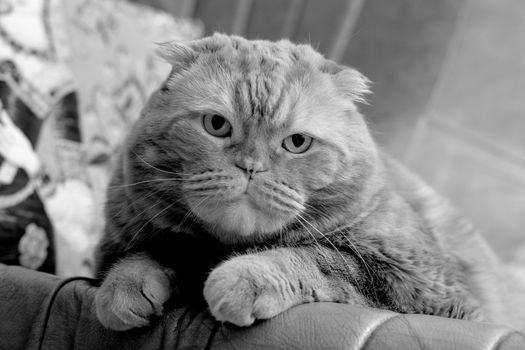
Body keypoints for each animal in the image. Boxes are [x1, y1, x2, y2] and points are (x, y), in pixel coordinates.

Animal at [94, 32, 524, 330]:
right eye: (216, 124)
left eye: (297, 142)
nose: (251, 167)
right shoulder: (136, 240)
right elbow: (146, 255)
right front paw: (123, 288)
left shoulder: (429, 291)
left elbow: (315, 258)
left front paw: (244, 276)